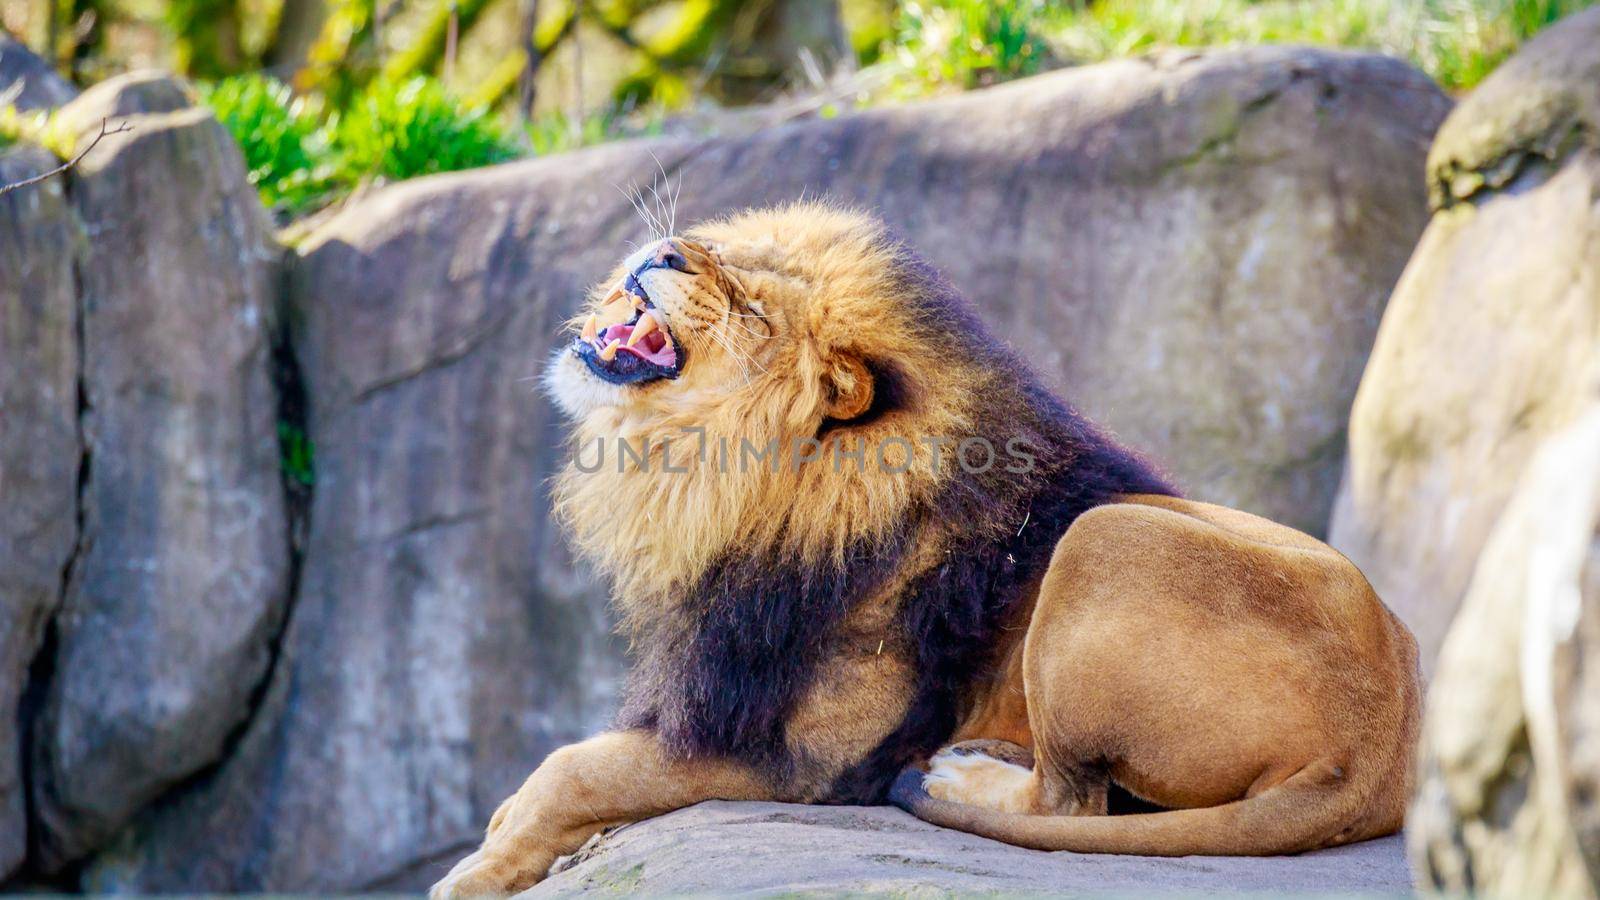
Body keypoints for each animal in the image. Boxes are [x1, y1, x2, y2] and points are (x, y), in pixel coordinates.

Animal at [425, 203, 1414, 896]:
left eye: (751, 308)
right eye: (726, 254)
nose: (665, 250)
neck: (724, 486)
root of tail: (1376, 754)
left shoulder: (800, 754)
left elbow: (574, 769)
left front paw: (475, 871)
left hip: (1105, 536)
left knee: (1070, 799)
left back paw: (959, 776)